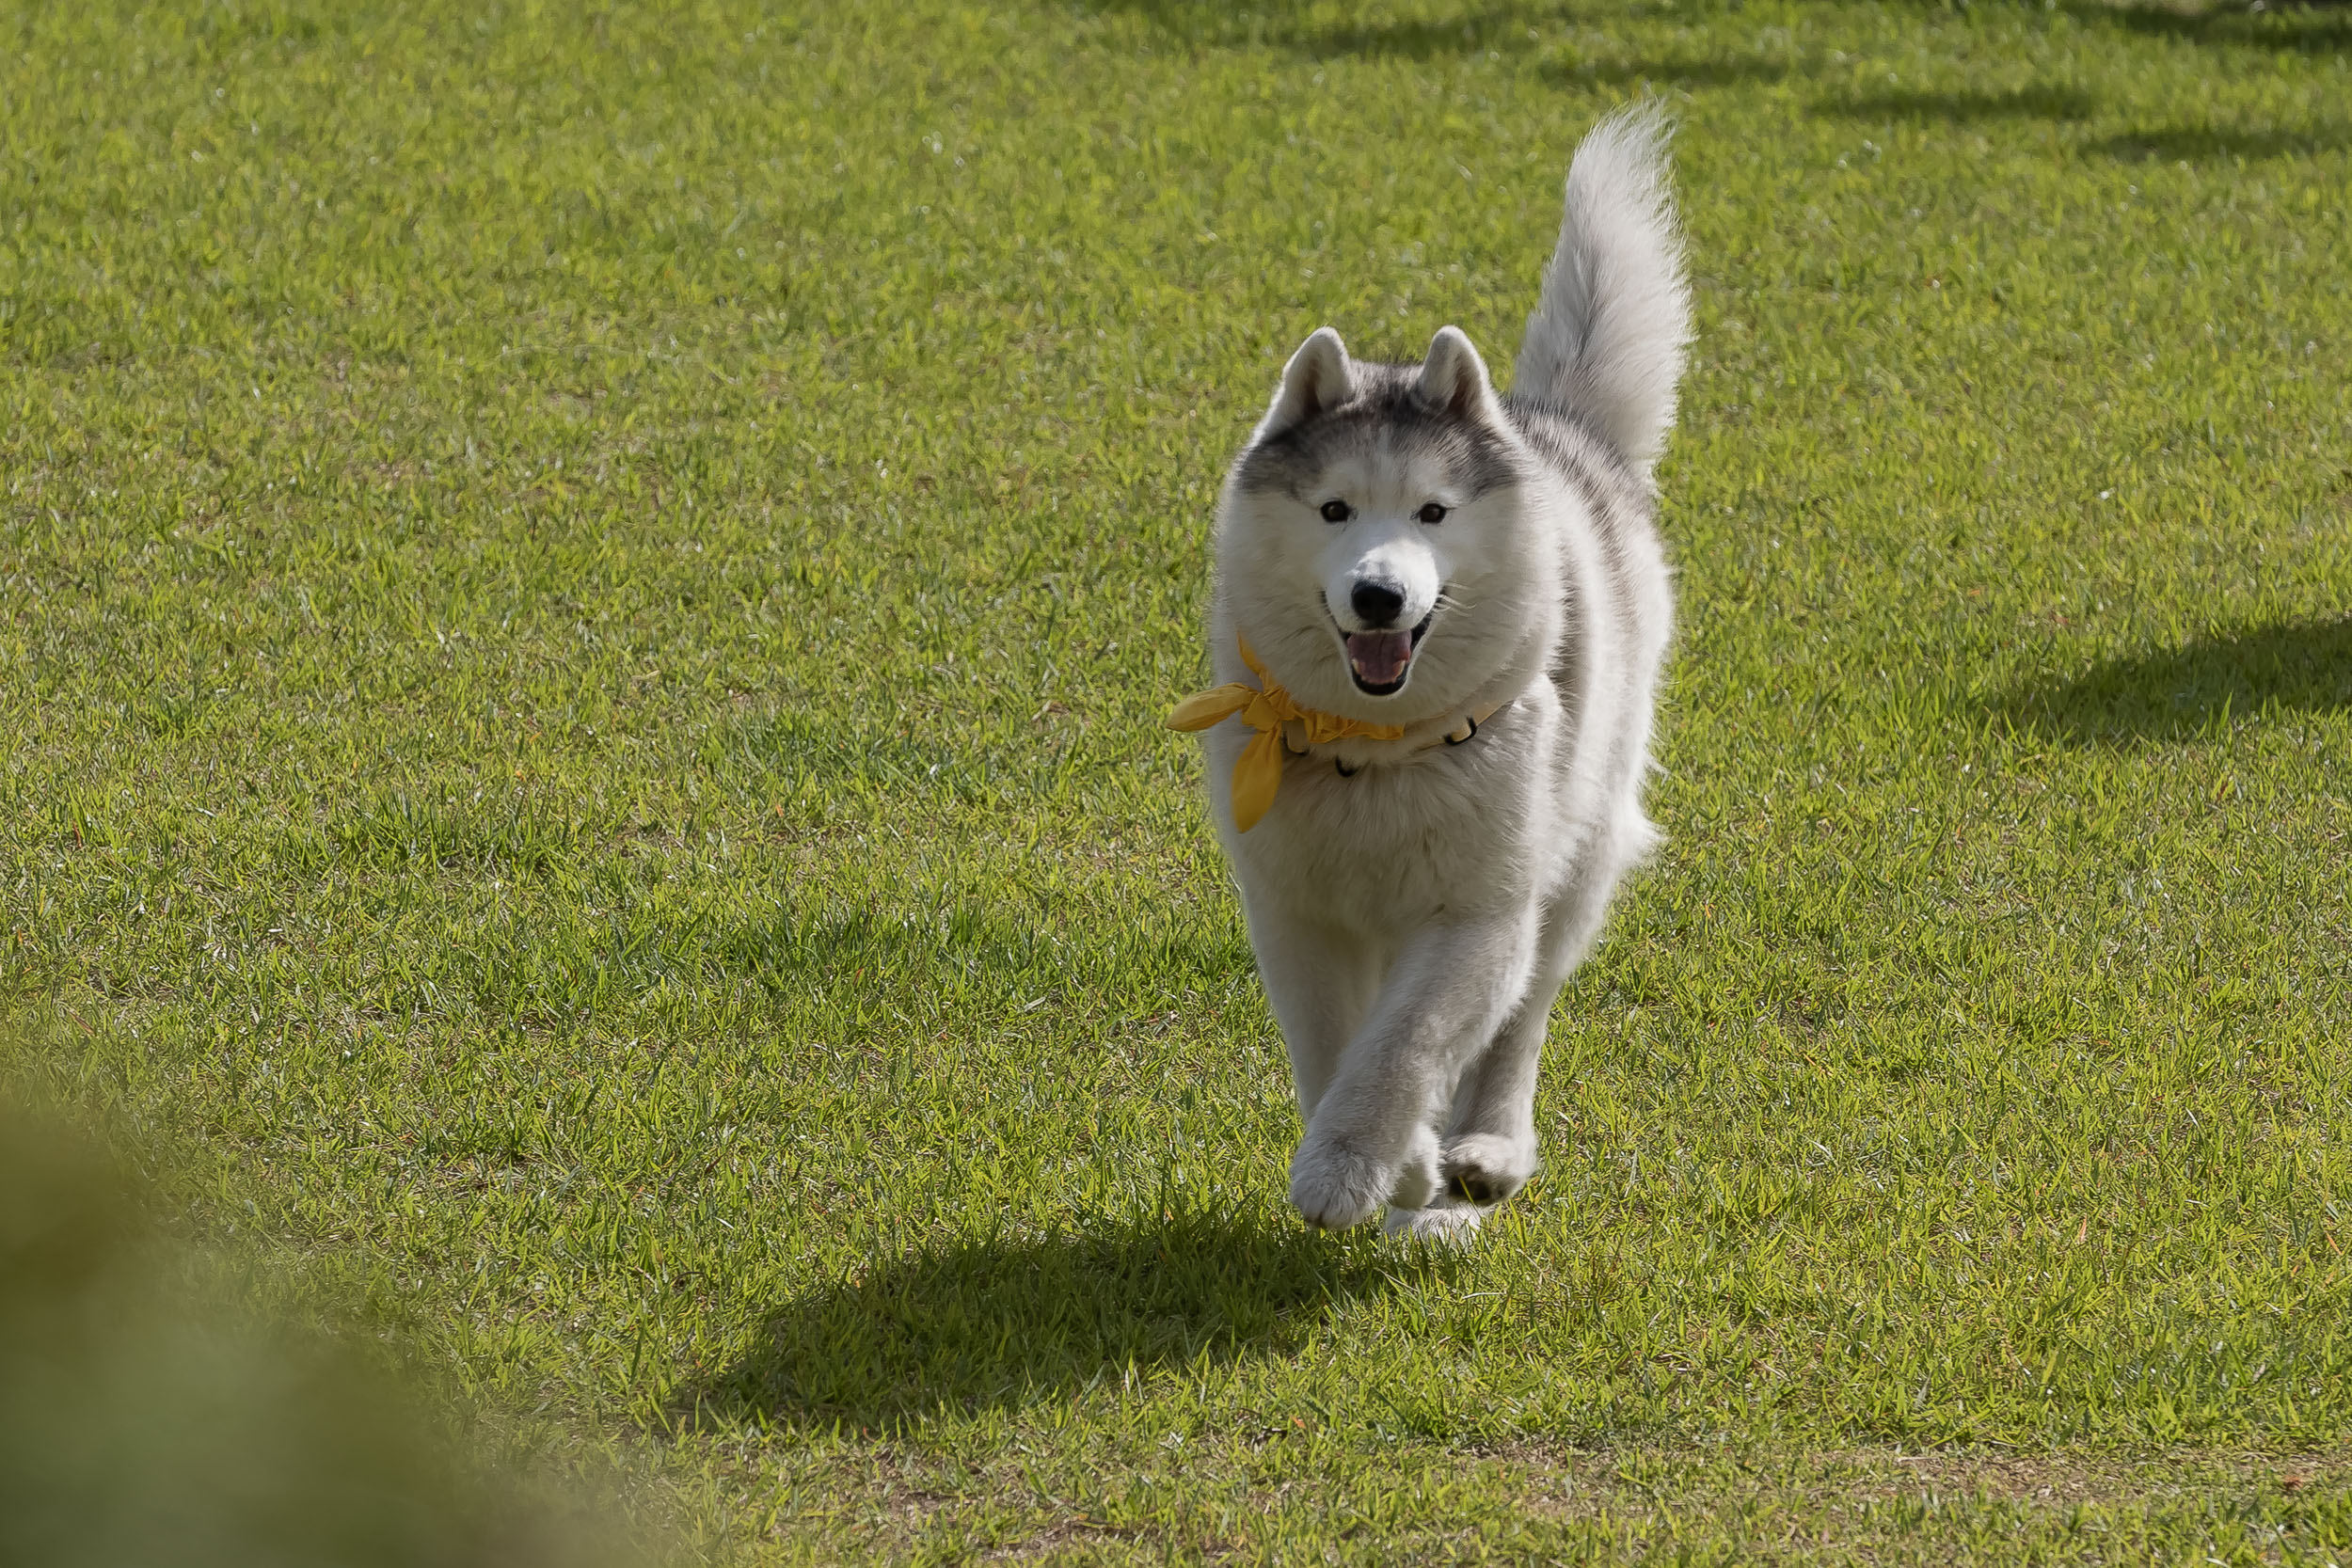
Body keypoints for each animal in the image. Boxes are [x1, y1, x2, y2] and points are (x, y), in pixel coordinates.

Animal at [1162, 103, 1684, 1241]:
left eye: (1434, 512)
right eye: (1335, 510)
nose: (1378, 597)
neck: (1374, 753)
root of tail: (1555, 427)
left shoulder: (1476, 917)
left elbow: (1406, 1046)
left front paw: (1360, 1165)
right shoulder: (1295, 915)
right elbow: (1334, 1050)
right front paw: (1394, 1169)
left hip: (1573, 860)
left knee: (1520, 1021)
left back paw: (1487, 1150)